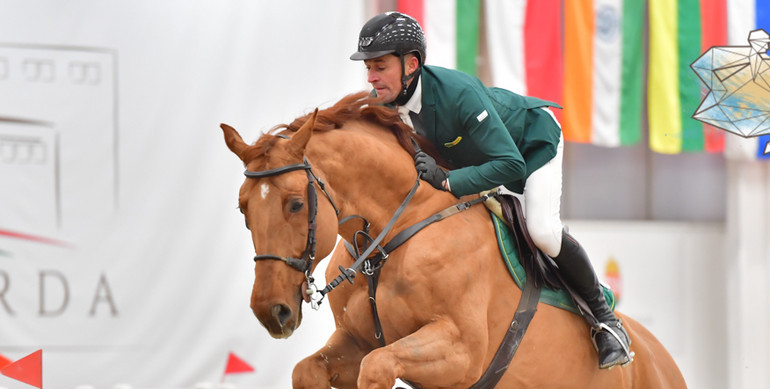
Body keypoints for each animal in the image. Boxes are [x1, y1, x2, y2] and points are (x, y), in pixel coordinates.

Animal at [220, 92, 684, 386]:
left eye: (296, 204)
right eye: (242, 208)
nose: (271, 312)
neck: (385, 242)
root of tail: (663, 358)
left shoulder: (461, 351)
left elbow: (378, 366)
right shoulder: (354, 342)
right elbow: (309, 370)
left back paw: (612, 337)